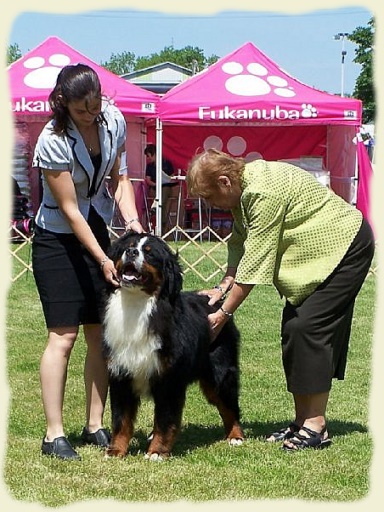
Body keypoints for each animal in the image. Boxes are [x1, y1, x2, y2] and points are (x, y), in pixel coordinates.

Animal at [103, 232, 243, 460]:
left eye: (149, 254)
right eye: (128, 247)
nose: (131, 252)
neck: (137, 305)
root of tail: (216, 303)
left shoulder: (169, 379)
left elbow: (165, 420)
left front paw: (157, 452)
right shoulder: (121, 375)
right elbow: (121, 420)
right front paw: (116, 450)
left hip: (219, 373)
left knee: (229, 405)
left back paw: (235, 436)